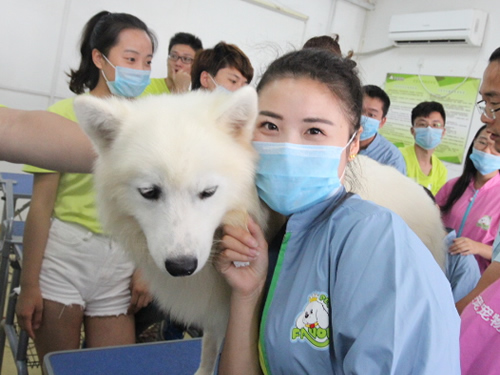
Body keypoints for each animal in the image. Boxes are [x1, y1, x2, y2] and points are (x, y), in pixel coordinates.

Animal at [73, 86, 446, 375]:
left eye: (208, 192)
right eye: (149, 192)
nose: (181, 266)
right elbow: (209, 347)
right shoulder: (216, 309)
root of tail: (423, 196)